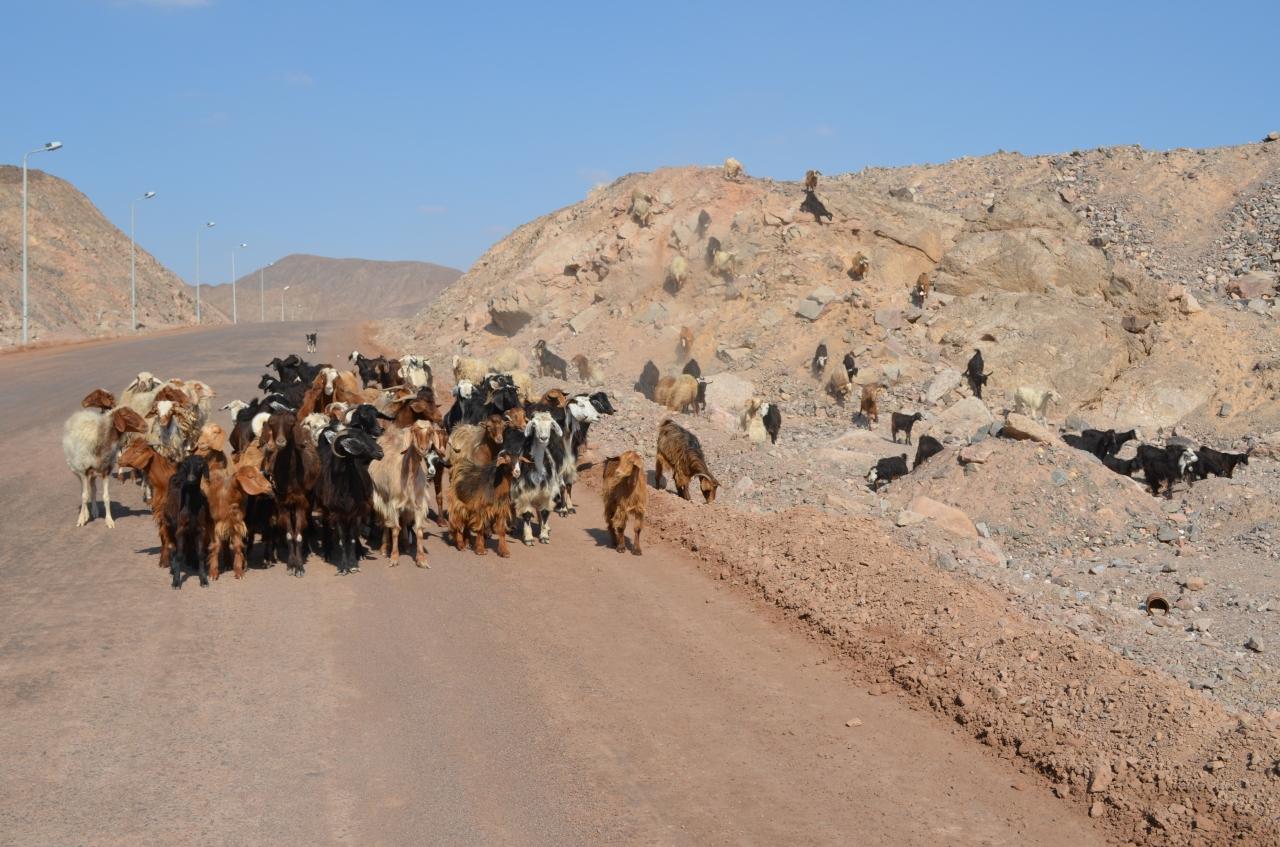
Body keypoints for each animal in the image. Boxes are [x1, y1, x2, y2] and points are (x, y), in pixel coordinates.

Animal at [164, 455, 212, 588]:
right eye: (185, 464)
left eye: (200, 465)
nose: (190, 479)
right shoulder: (180, 529)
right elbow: (179, 555)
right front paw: (176, 581)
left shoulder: (201, 530)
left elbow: (201, 554)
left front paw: (203, 579)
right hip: (170, 526)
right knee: (174, 549)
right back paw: (173, 568)